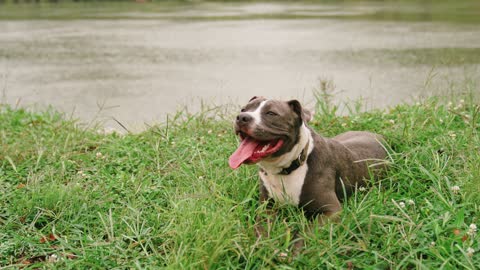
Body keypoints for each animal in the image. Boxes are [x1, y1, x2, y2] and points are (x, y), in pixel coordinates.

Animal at [228, 97, 386, 253]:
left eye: (271, 113)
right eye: (243, 109)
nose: (241, 117)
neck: (288, 168)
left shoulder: (332, 211)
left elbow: (307, 231)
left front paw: (292, 252)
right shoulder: (267, 206)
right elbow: (260, 228)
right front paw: (260, 246)